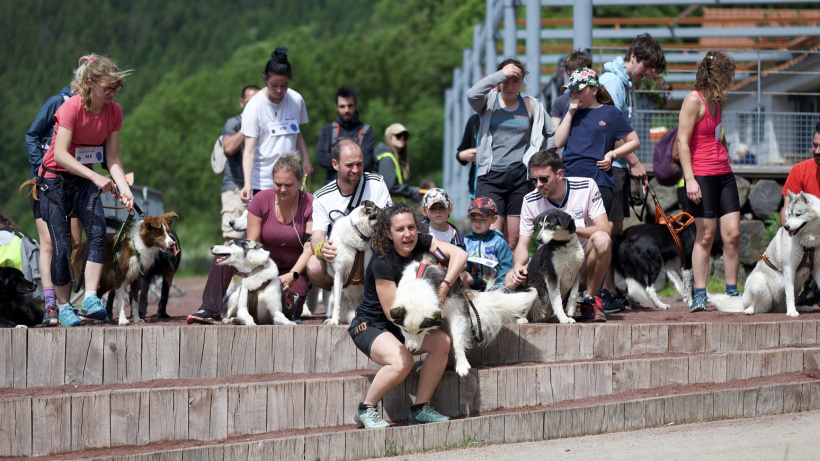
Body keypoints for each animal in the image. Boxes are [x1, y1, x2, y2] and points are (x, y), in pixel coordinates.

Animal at [390, 255, 540, 378]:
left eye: (420, 331)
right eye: (404, 330)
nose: (411, 350)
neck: (418, 287)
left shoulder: (456, 310)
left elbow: (457, 341)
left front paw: (462, 365)